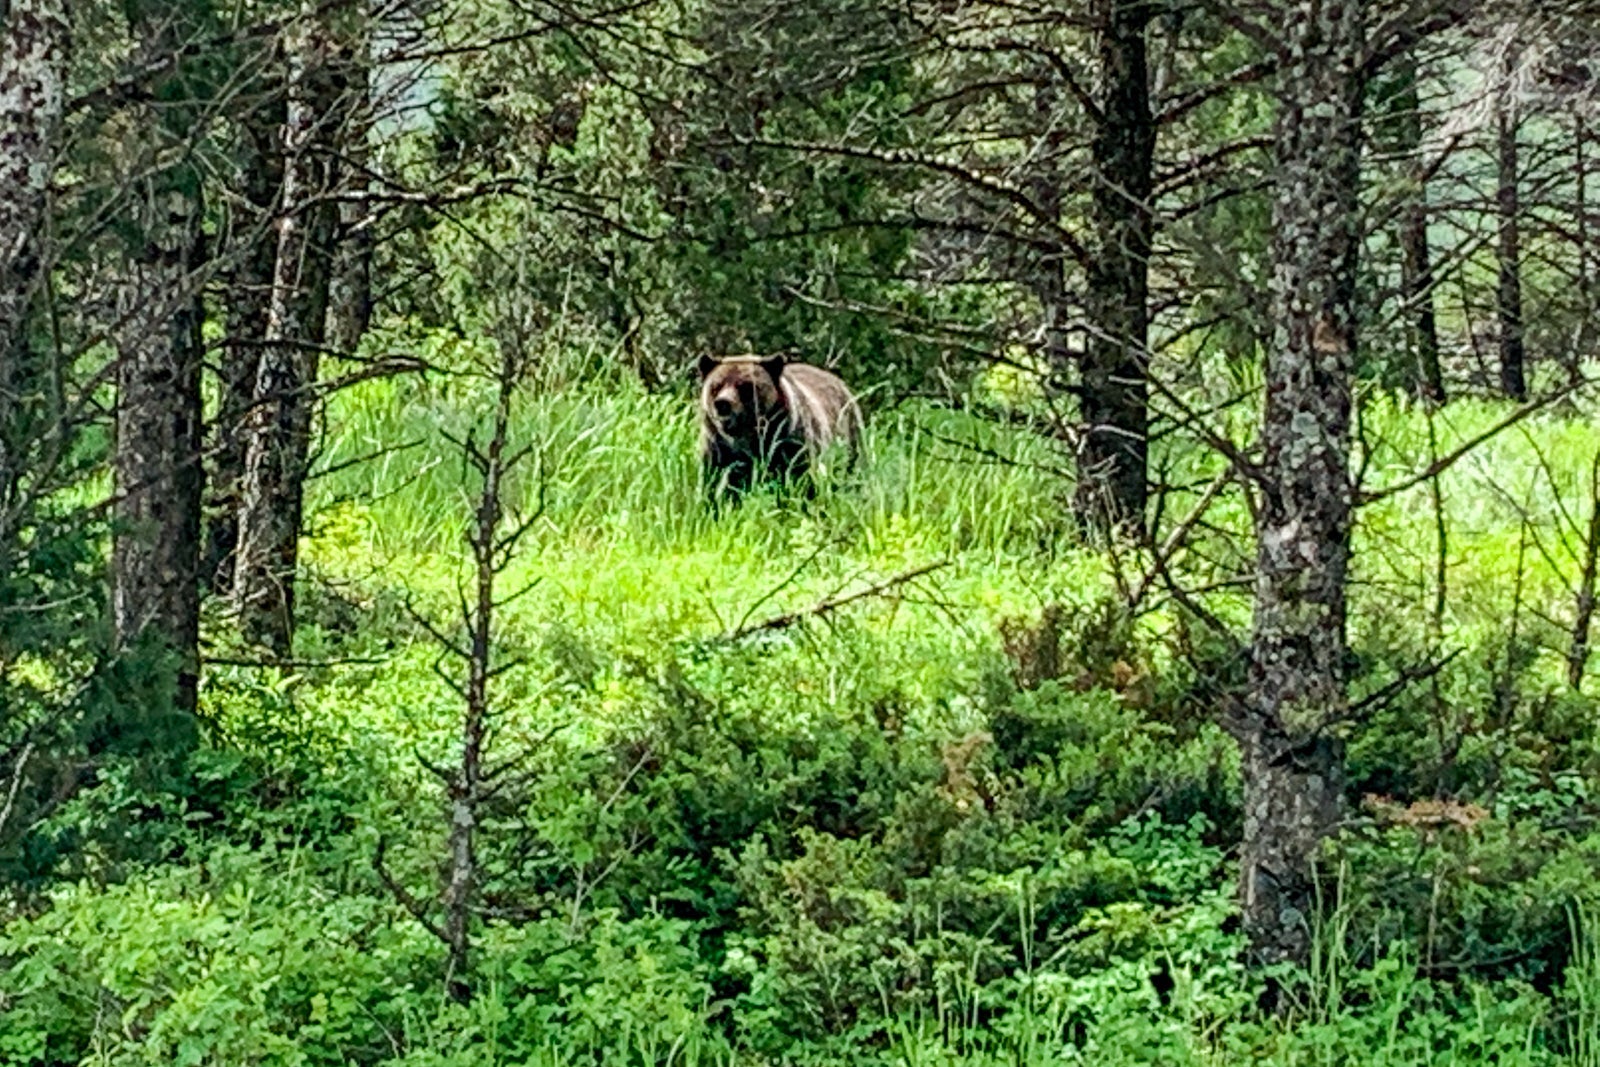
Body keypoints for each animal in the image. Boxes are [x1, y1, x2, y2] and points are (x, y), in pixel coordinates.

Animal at [697, 352, 863, 501]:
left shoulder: (790, 444)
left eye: (744, 387)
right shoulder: (719, 450)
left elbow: (802, 480)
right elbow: (716, 485)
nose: (722, 403)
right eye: (716, 386)